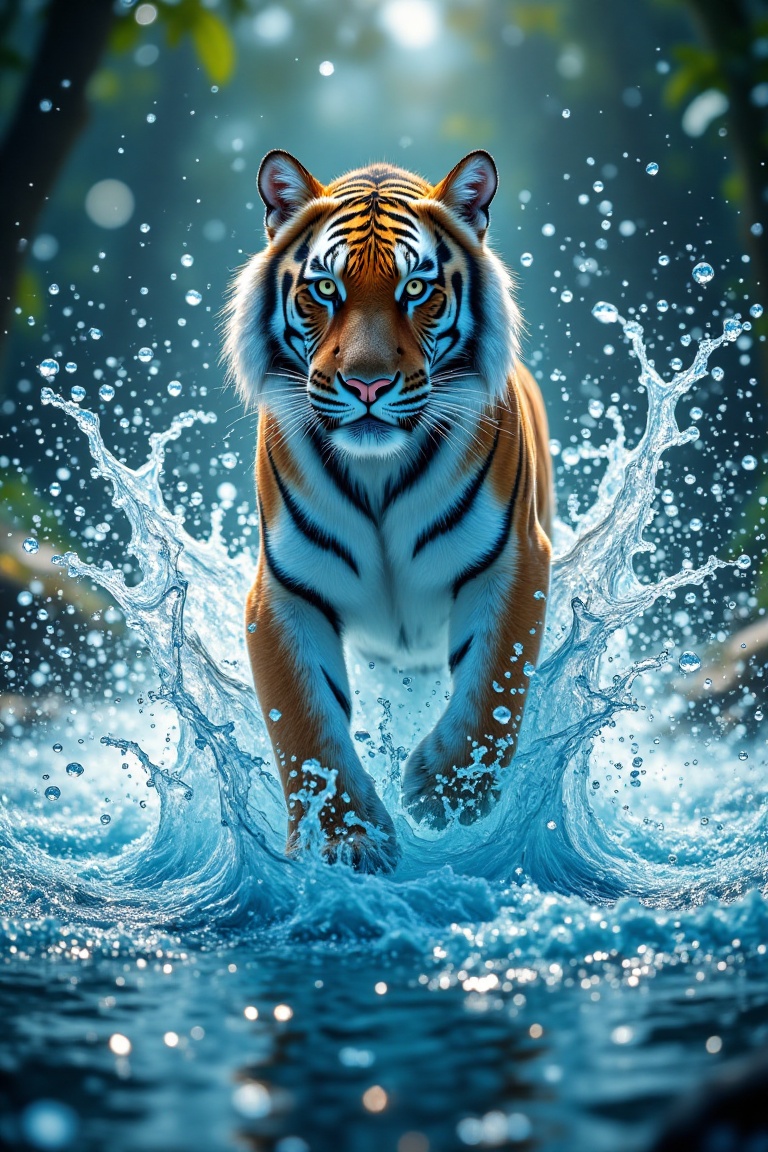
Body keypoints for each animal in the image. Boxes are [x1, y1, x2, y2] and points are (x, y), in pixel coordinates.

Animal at [224, 149, 552, 873]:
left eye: (416, 289)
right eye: (325, 290)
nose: (367, 384)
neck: (377, 475)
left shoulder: (515, 560)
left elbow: (496, 682)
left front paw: (450, 792)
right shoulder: (282, 594)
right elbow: (306, 727)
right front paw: (344, 842)